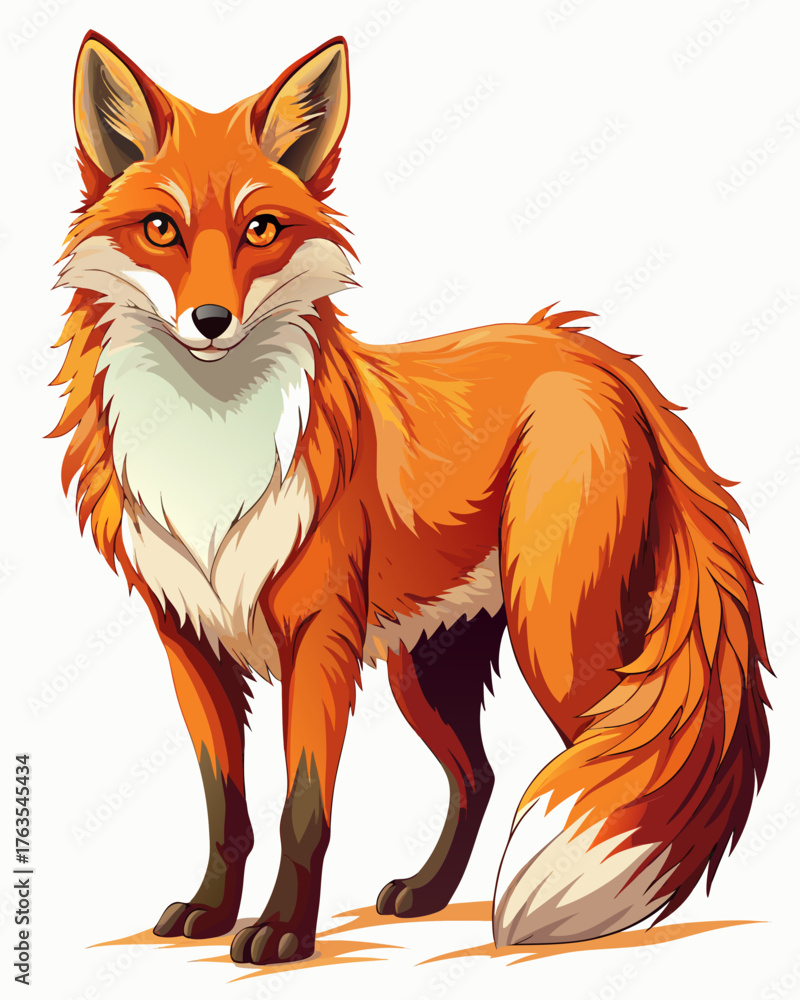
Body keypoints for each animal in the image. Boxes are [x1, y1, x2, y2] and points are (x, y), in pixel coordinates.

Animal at [51, 31, 771, 966]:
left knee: (615, 758)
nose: (210, 320)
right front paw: (211, 911)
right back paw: (430, 894)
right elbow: (224, 809)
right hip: (423, 668)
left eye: (260, 229)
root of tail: (592, 351)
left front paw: (283, 930)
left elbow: (301, 811)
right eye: (161, 229)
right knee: (482, 775)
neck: (211, 450)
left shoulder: (318, 637)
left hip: (557, 638)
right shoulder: (188, 642)